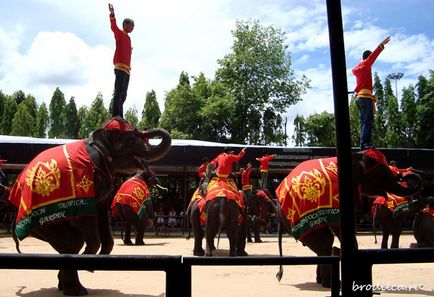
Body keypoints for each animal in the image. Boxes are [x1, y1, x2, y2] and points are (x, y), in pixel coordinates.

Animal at [8, 117, 171, 294]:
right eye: (132, 139)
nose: (145, 129)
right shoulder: (91, 179)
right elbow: (90, 215)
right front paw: (89, 261)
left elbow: (102, 213)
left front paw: (97, 259)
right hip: (42, 219)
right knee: (71, 242)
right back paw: (75, 291)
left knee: (72, 243)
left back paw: (67, 287)